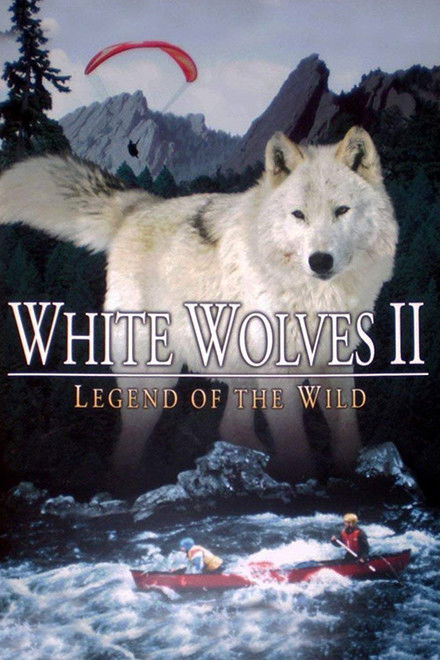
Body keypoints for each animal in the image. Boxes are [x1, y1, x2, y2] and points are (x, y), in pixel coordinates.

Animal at [0, 127, 398, 486]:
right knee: (128, 446)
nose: (320, 260)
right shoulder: (278, 371)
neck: (316, 297)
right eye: (298, 215)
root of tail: (140, 208)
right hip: (153, 380)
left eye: (341, 211)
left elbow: (346, 429)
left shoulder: (335, 362)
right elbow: (294, 438)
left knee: (229, 429)